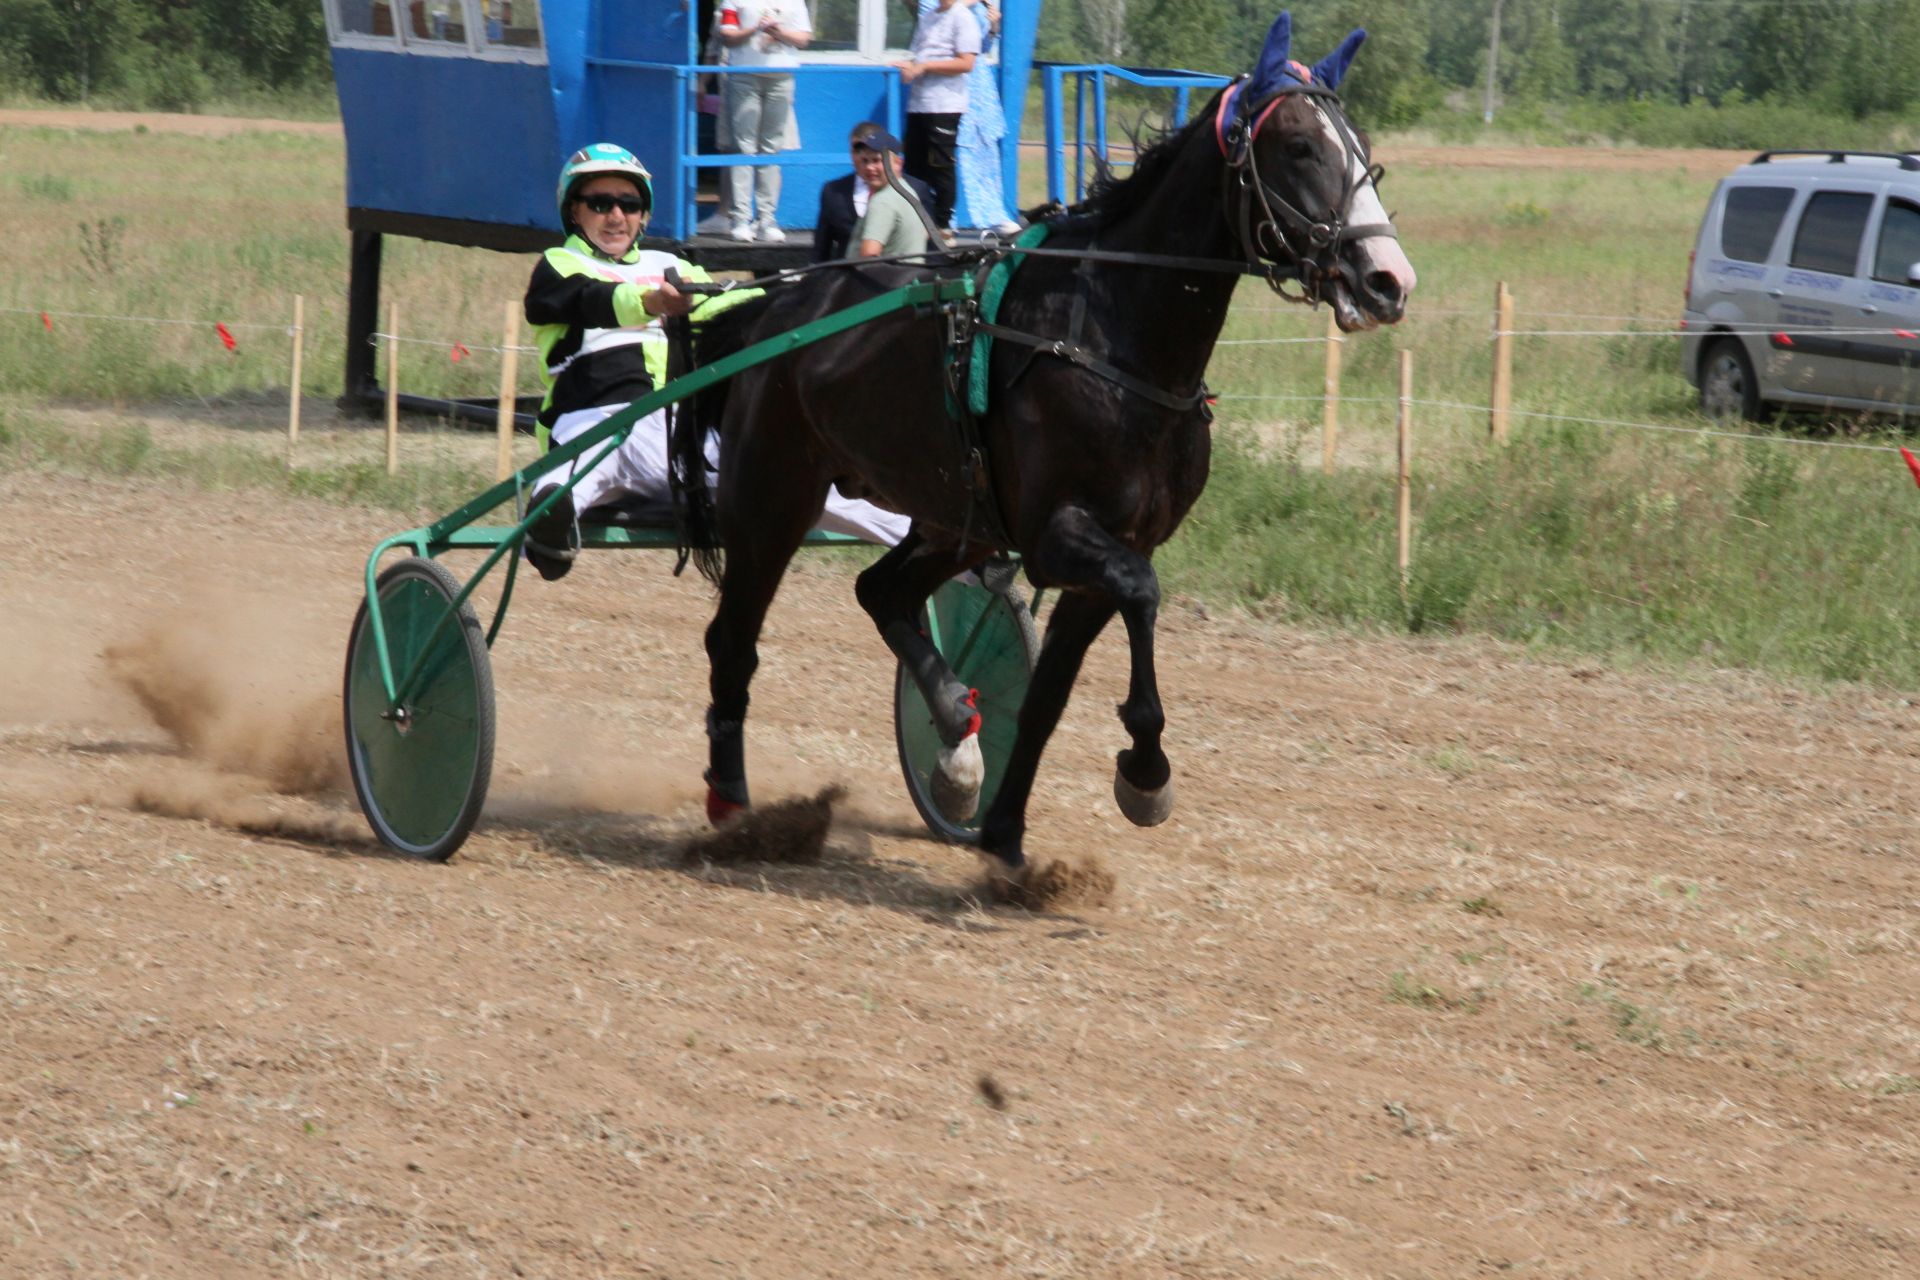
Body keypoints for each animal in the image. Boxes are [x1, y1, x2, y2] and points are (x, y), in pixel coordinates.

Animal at [675, 17, 1413, 882]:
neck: (1116, 342)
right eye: (1299, 146)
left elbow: (1047, 696)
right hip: (771, 497)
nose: (1387, 278)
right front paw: (1145, 774)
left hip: (954, 519)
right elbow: (1143, 595)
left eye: (1361, 146)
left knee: (881, 592)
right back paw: (735, 805)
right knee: (734, 641)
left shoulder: (1103, 545)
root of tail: (775, 305)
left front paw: (1004, 835)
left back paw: (954, 734)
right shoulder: (1059, 536)